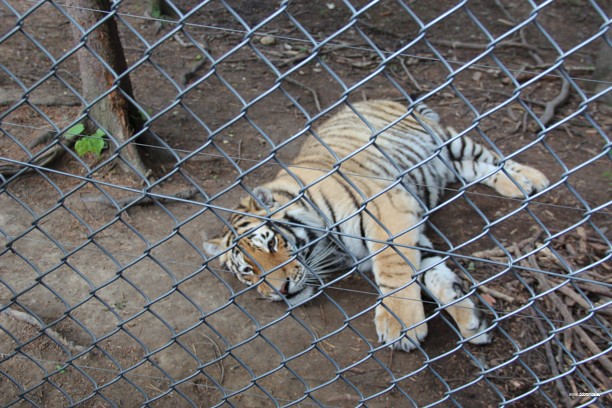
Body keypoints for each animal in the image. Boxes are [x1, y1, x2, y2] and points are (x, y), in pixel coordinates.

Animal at [202, 99, 548, 350]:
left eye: (272, 243)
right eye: (247, 270)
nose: (281, 292)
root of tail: (375, 98)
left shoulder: (388, 210)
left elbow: (394, 269)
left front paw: (401, 325)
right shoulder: (415, 234)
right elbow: (433, 273)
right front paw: (471, 321)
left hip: (447, 140)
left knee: (492, 155)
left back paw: (534, 179)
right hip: (446, 162)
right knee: (473, 167)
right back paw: (519, 184)